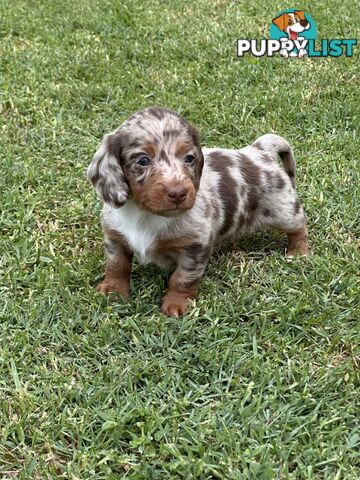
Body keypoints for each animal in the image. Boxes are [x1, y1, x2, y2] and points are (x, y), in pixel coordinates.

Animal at [88, 109, 310, 318]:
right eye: (143, 160)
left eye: (189, 158)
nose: (179, 193)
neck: (146, 215)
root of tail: (259, 150)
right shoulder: (114, 237)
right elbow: (116, 266)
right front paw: (112, 291)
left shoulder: (195, 247)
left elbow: (182, 278)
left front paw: (177, 305)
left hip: (284, 210)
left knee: (299, 227)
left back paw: (298, 252)